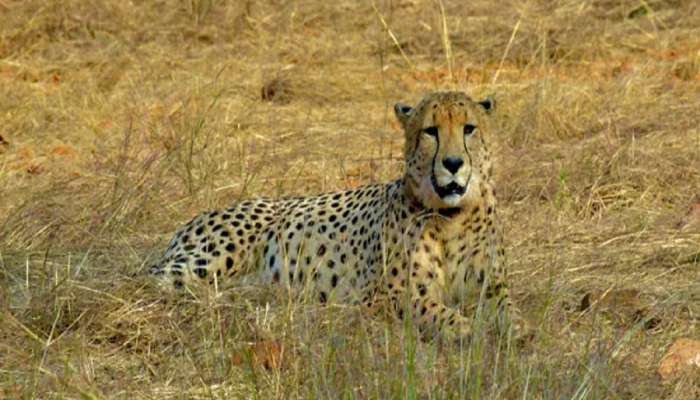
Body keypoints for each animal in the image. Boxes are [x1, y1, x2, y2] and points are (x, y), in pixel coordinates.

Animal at [150, 91, 524, 340]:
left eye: (469, 128)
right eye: (431, 131)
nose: (453, 163)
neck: (451, 217)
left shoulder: (492, 285)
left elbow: (509, 309)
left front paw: (517, 329)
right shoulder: (386, 295)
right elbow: (433, 310)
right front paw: (464, 327)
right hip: (207, 261)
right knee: (153, 280)